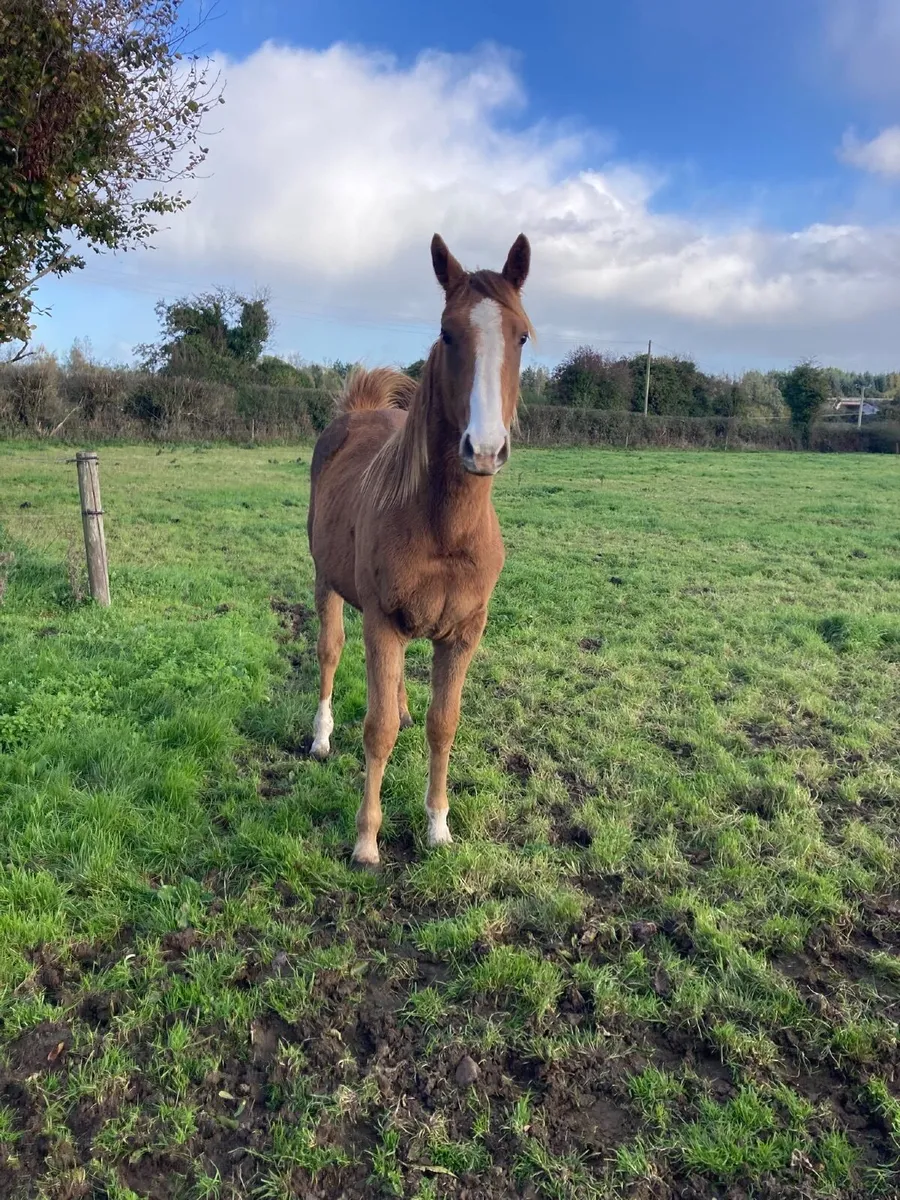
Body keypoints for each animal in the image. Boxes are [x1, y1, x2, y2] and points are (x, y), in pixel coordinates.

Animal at [306, 233, 533, 868]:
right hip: (326, 581)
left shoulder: (463, 633)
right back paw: (320, 737)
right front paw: (366, 841)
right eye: (448, 332)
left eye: (522, 335)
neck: (445, 530)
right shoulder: (381, 622)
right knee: (329, 652)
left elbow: (443, 725)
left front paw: (438, 826)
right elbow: (377, 728)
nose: (484, 449)